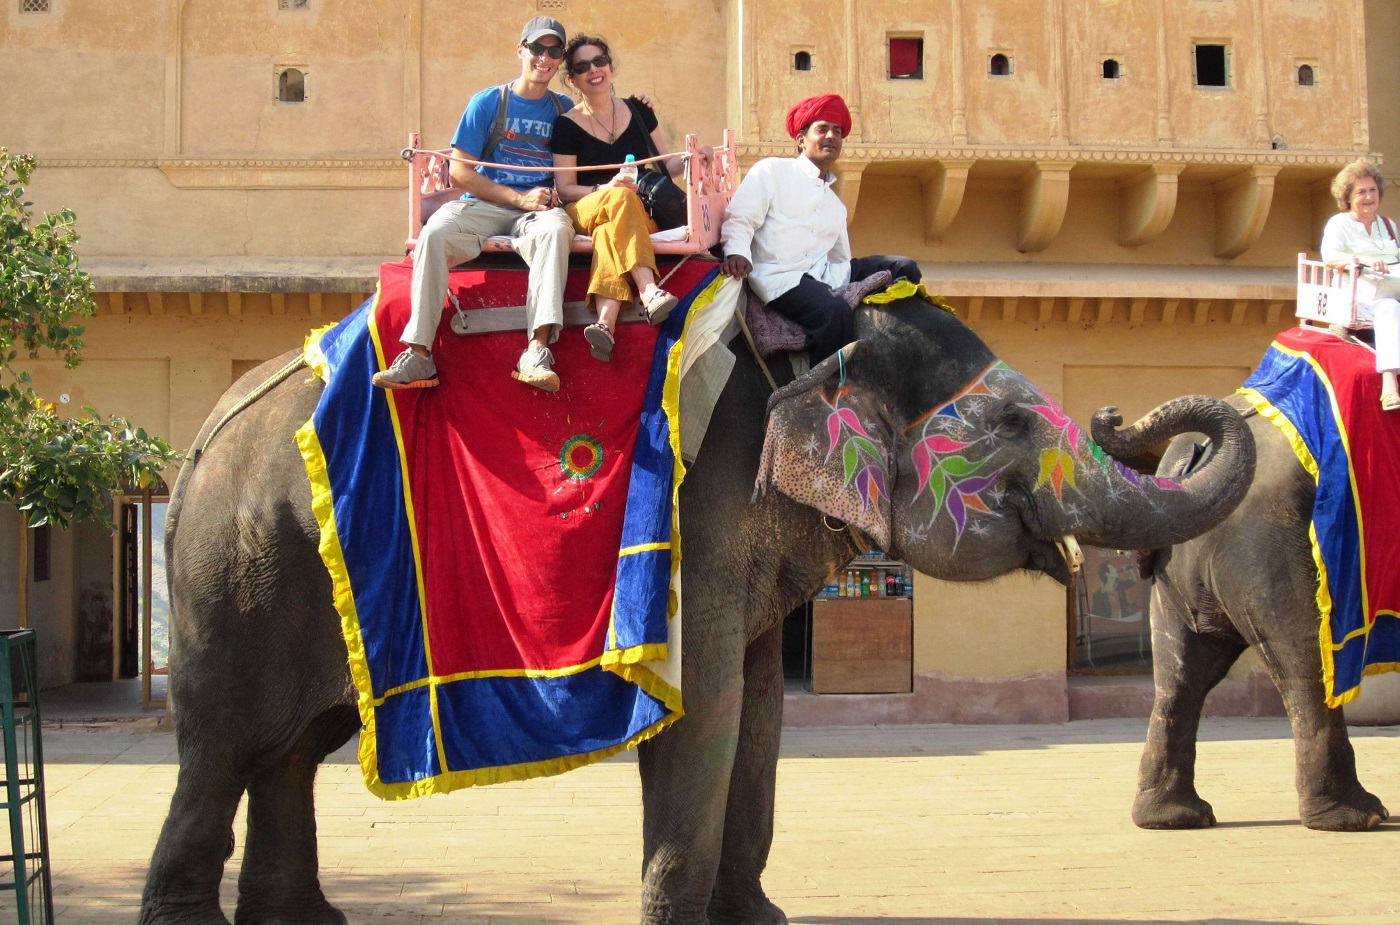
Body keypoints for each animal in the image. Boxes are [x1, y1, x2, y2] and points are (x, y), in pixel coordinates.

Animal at [139, 289, 1256, 925]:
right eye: (1012, 422)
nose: (1118, 412)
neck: (808, 346)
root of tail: (189, 455)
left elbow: (759, 712)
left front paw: (757, 917)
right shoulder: (702, 508)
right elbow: (707, 708)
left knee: (291, 749)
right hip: (235, 576)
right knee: (225, 750)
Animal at [1124, 393, 1391, 833]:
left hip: (1182, 564)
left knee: (1183, 672)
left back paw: (1174, 818)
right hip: (1268, 539)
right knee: (1303, 660)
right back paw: (1356, 817)